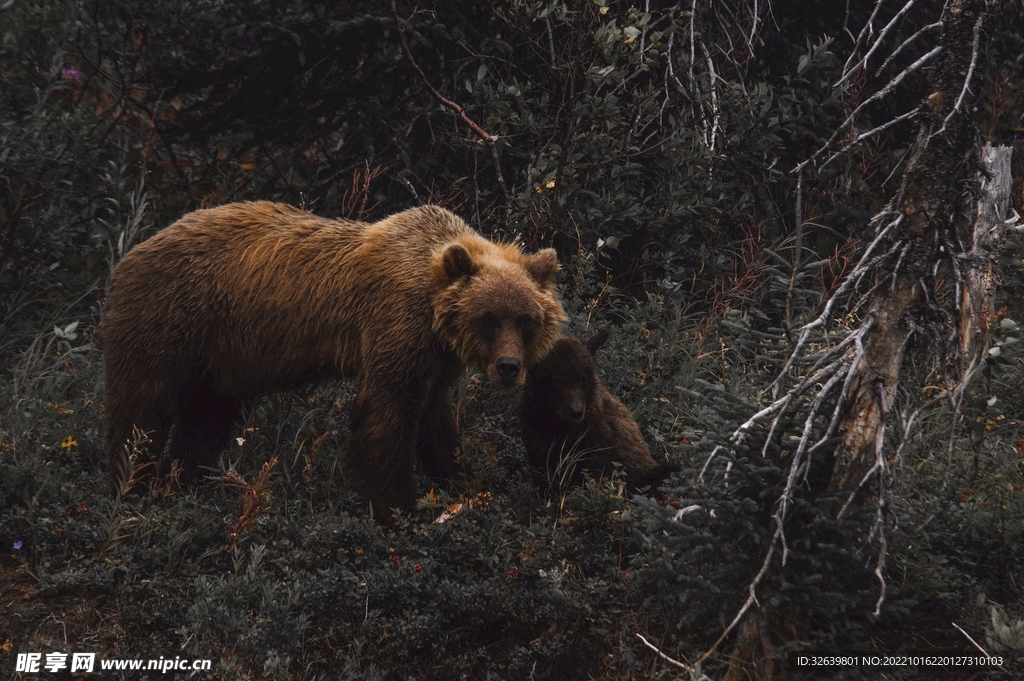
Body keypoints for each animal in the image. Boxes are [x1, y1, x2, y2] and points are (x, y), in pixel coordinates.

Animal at [103, 201, 566, 515]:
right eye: (488, 318)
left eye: (525, 319)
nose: (509, 367)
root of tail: (130, 253)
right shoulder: (395, 323)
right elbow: (385, 411)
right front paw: (396, 507)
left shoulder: (437, 357)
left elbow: (434, 419)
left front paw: (464, 483)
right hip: (169, 318)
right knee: (142, 408)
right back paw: (132, 484)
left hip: (220, 358)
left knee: (206, 418)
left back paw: (184, 483)